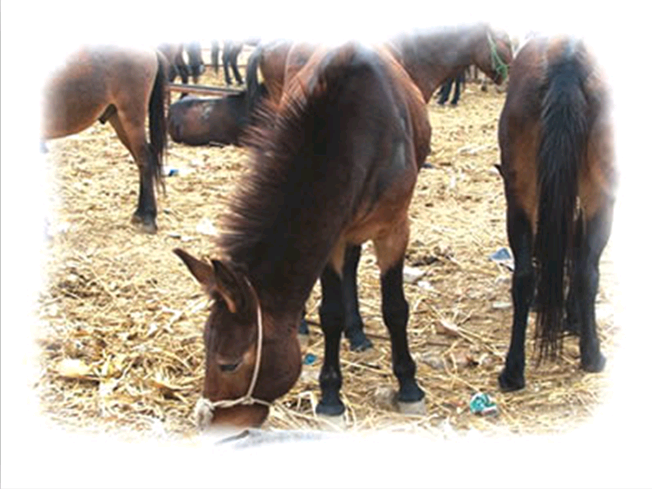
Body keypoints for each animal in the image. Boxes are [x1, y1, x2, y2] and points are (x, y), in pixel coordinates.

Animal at [41, 45, 168, 234]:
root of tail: (149, 50)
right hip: (118, 119)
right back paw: (140, 213)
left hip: (132, 116)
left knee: (145, 159)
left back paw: (148, 218)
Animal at [174, 40, 432, 428]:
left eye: (229, 363)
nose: (212, 425)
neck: (358, 132)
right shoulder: (332, 238)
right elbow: (331, 313)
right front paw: (330, 395)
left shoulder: (394, 229)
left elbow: (395, 308)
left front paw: (408, 385)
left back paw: (357, 332)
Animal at [496, 35, 616, 392]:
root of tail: (567, 59)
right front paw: (571, 315)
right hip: (600, 195)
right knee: (587, 270)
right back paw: (592, 355)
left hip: (520, 194)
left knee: (524, 276)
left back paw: (514, 370)